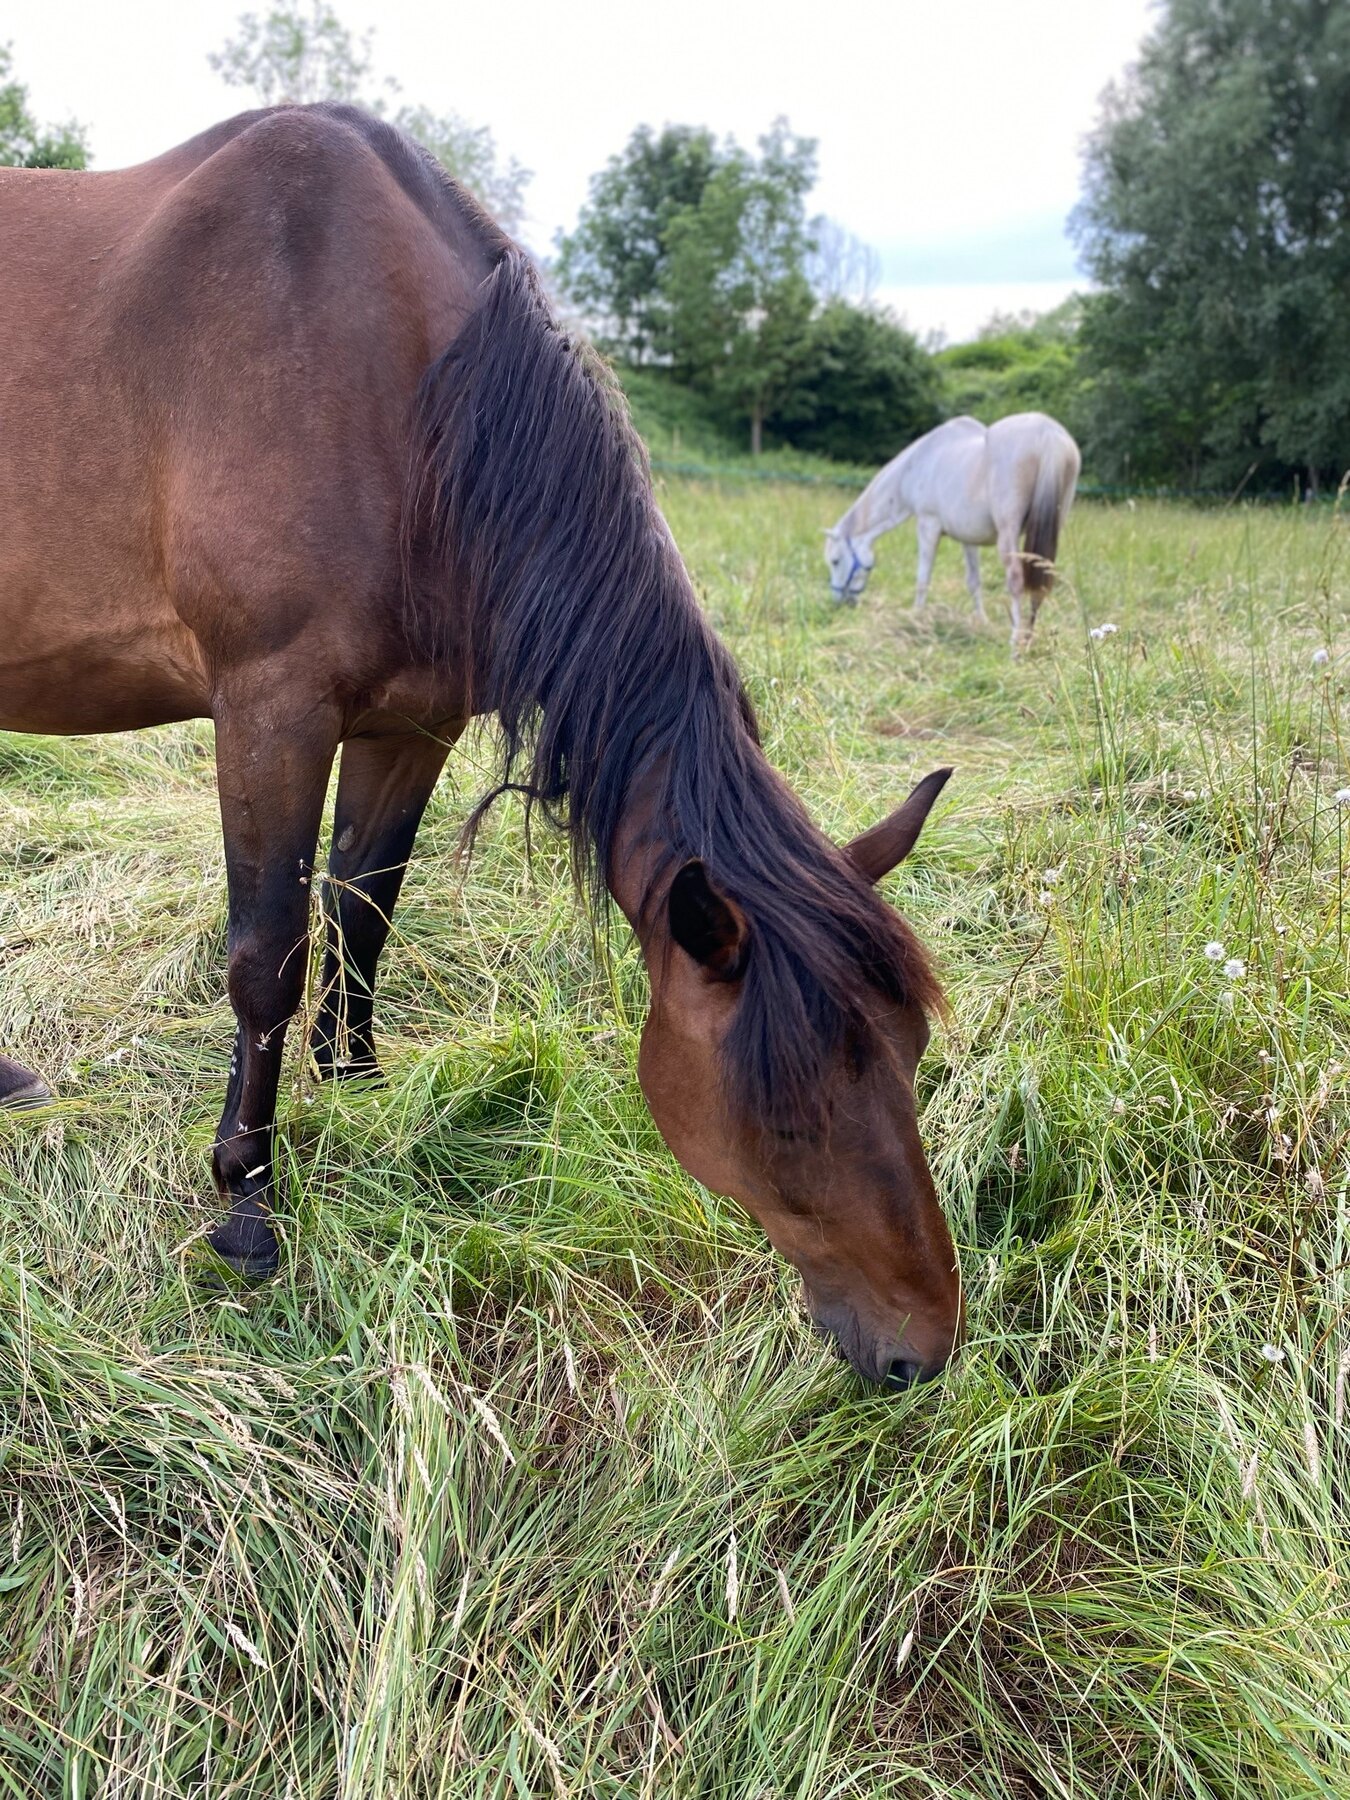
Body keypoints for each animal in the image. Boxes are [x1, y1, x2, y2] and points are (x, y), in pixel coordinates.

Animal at [0, 104, 961, 1389]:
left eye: (911, 1056)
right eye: (790, 1114)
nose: (926, 1348)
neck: (401, 388)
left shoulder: (409, 725)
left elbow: (361, 910)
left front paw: (356, 1087)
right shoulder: (271, 710)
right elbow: (267, 956)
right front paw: (246, 1200)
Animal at [824, 412, 1081, 649]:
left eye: (835, 561)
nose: (838, 602)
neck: (915, 466)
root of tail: (1047, 433)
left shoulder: (927, 526)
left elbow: (923, 578)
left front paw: (916, 619)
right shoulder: (969, 540)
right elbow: (974, 582)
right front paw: (982, 621)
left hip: (1009, 535)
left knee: (1016, 581)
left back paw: (1014, 648)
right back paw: (1027, 640)